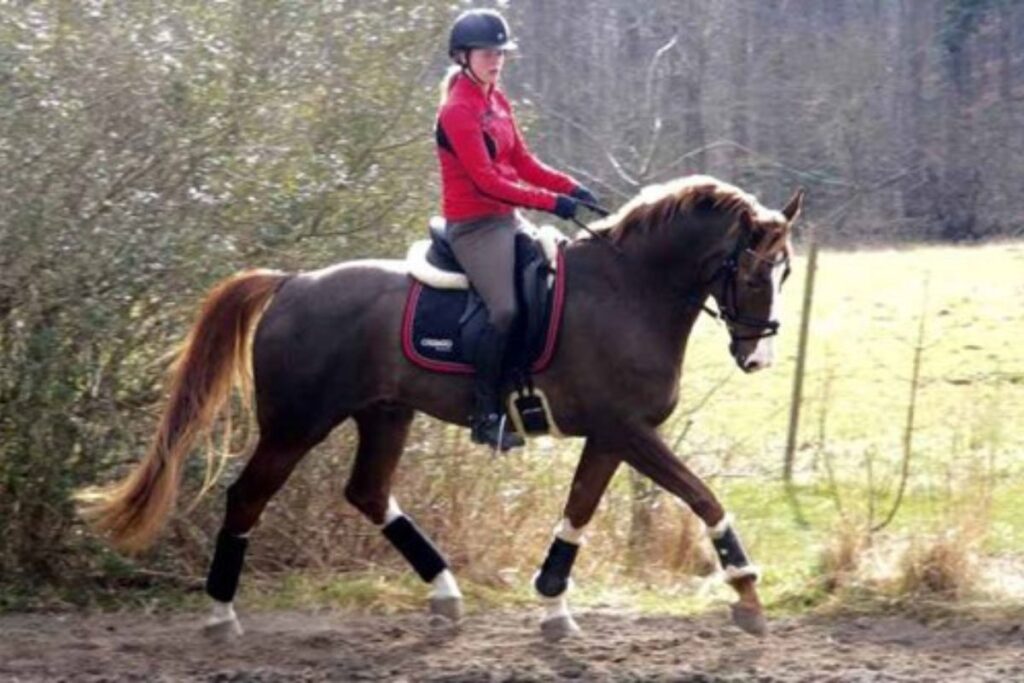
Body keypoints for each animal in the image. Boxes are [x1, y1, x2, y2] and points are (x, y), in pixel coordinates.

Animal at [75, 175, 802, 643]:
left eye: (787, 272)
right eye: (750, 271)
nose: (758, 357)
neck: (629, 289)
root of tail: (292, 284)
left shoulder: (612, 434)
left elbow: (579, 511)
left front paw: (553, 604)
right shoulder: (628, 430)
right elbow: (702, 496)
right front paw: (747, 589)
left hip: (384, 412)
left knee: (368, 493)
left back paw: (445, 593)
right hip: (296, 424)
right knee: (247, 497)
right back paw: (221, 616)